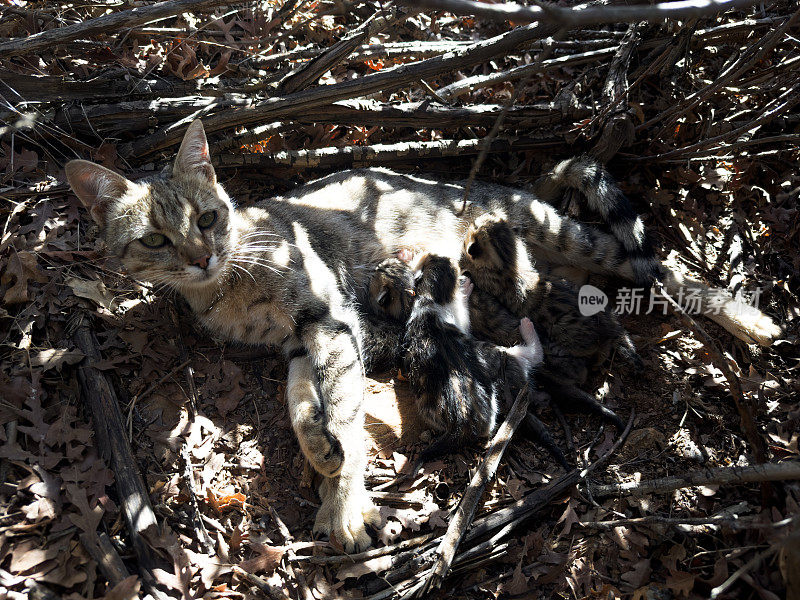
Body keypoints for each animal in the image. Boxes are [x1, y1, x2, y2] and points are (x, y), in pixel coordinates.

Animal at [67, 118, 780, 552]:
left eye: (209, 218)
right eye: (155, 240)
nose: (200, 255)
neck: (226, 289)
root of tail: (509, 184)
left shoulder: (332, 318)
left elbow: (347, 414)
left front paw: (346, 504)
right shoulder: (299, 340)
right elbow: (302, 407)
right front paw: (321, 457)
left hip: (573, 236)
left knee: (655, 263)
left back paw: (751, 321)